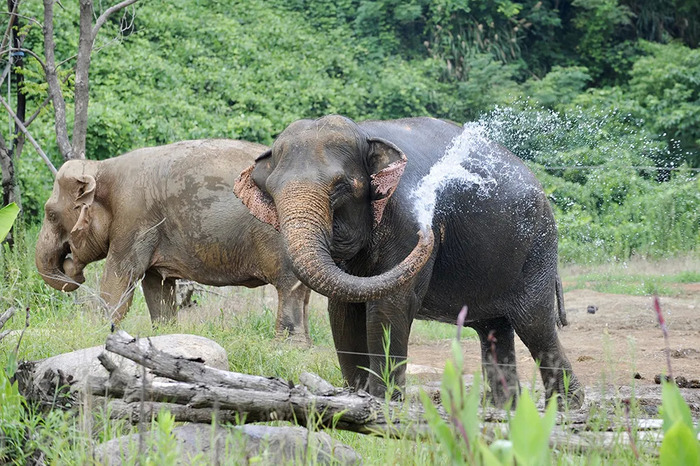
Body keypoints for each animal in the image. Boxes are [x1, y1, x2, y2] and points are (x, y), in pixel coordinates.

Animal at [35, 138, 312, 342]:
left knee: (289, 288)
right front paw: (165, 334)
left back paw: (289, 347)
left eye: (51, 214)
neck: (101, 167)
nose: (73, 268)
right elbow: (157, 289)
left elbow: (119, 278)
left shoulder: (133, 219)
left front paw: (105, 332)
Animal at [235, 115, 584, 408]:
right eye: (271, 191)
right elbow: (343, 310)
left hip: (536, 249)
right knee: (495, 331)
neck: (366, 134)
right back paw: (507, 410)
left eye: (341, 187)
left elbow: (389, 306)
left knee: (535, 325)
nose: (430, 227)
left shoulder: (404, 220)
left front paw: (384, 402)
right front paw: (357, 396)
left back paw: (567, 409)